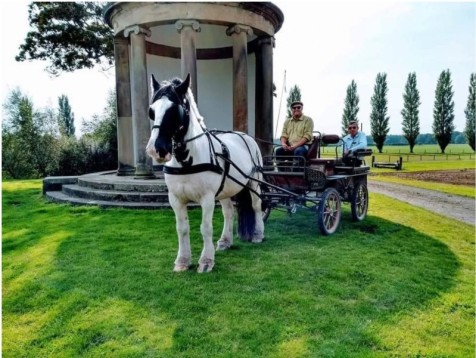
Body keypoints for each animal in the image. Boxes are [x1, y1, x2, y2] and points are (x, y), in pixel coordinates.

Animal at [146, 74, 264, 272]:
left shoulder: (207, 198)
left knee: (257, 206)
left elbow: (205, 228)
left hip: (254, 183)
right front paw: (182, 260)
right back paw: (225, 241)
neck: (187, 160)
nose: (156, 149)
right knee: (228, 212)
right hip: (225, 190)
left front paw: (206, 261)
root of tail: (245, 136)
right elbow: (182, 228)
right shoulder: (176, 199)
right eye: (152, 111)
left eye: (174, 109)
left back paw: (258, 234)